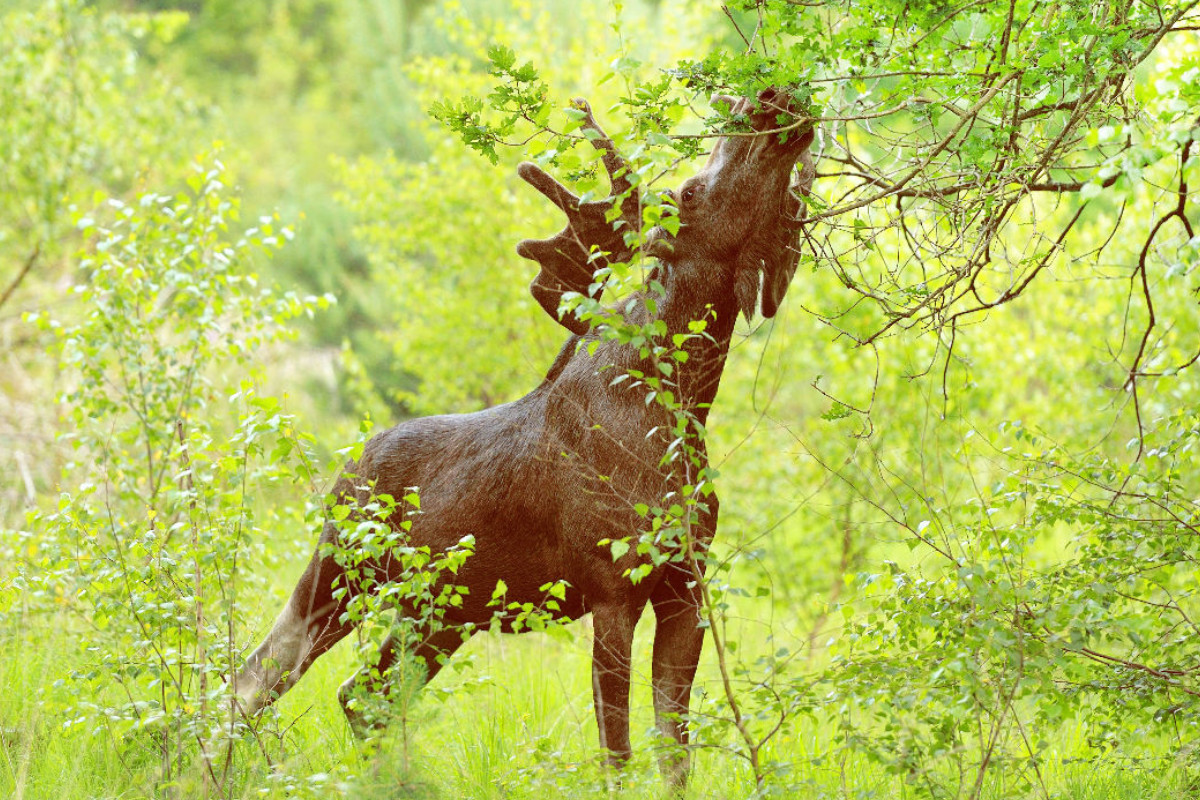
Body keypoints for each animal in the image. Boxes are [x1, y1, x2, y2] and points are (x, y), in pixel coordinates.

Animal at [234, 89, 816, 786]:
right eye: (692, 190)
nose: (770, 98)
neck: (685, 407)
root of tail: (349, 467)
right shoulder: (612, 589)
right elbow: (617, 753)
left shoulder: (684, 585)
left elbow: (674, 754)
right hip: (340, 569)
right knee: (255, 679)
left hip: (440, 613)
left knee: (362, 695)